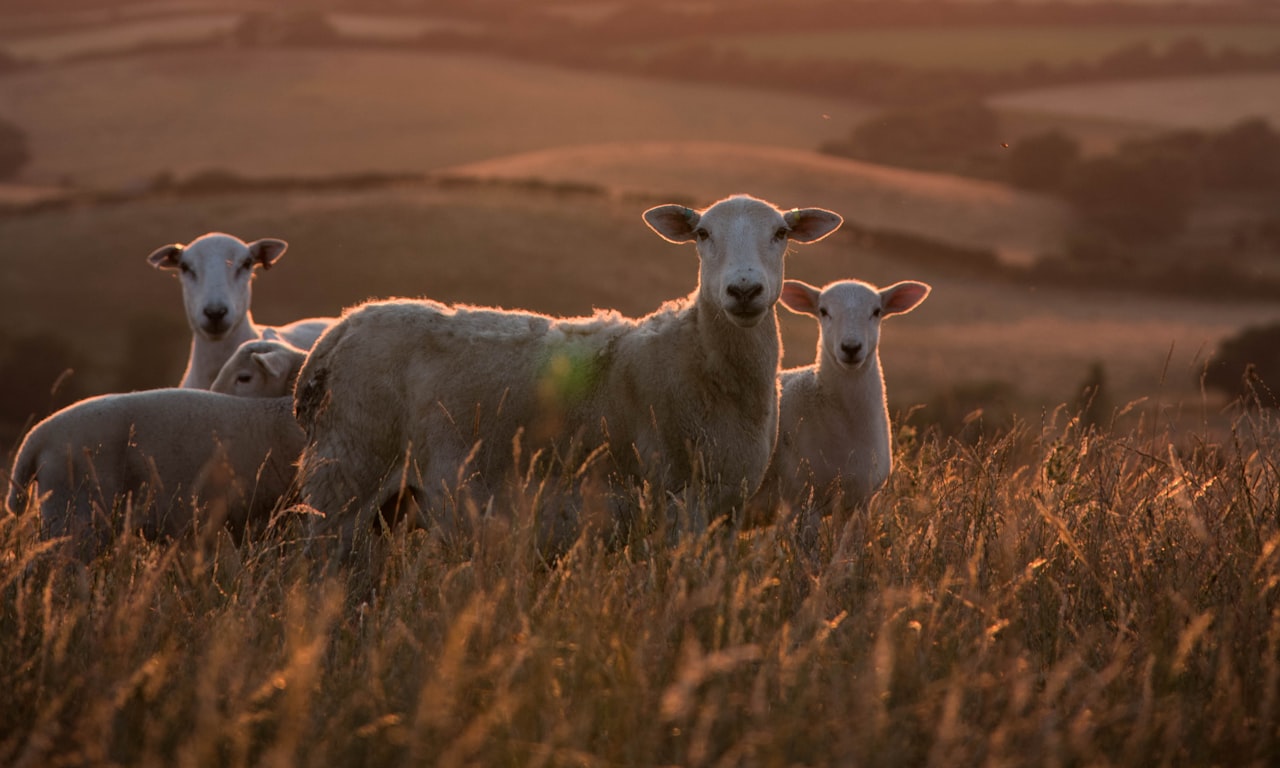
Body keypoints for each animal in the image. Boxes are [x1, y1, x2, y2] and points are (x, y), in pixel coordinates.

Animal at [294, 193, 844, 552]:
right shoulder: (671, 503)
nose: (744, 290)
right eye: (702, 234)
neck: (702, 359)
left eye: (781, 234)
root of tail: (340, 328)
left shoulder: (725, 512)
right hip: (345, 476)